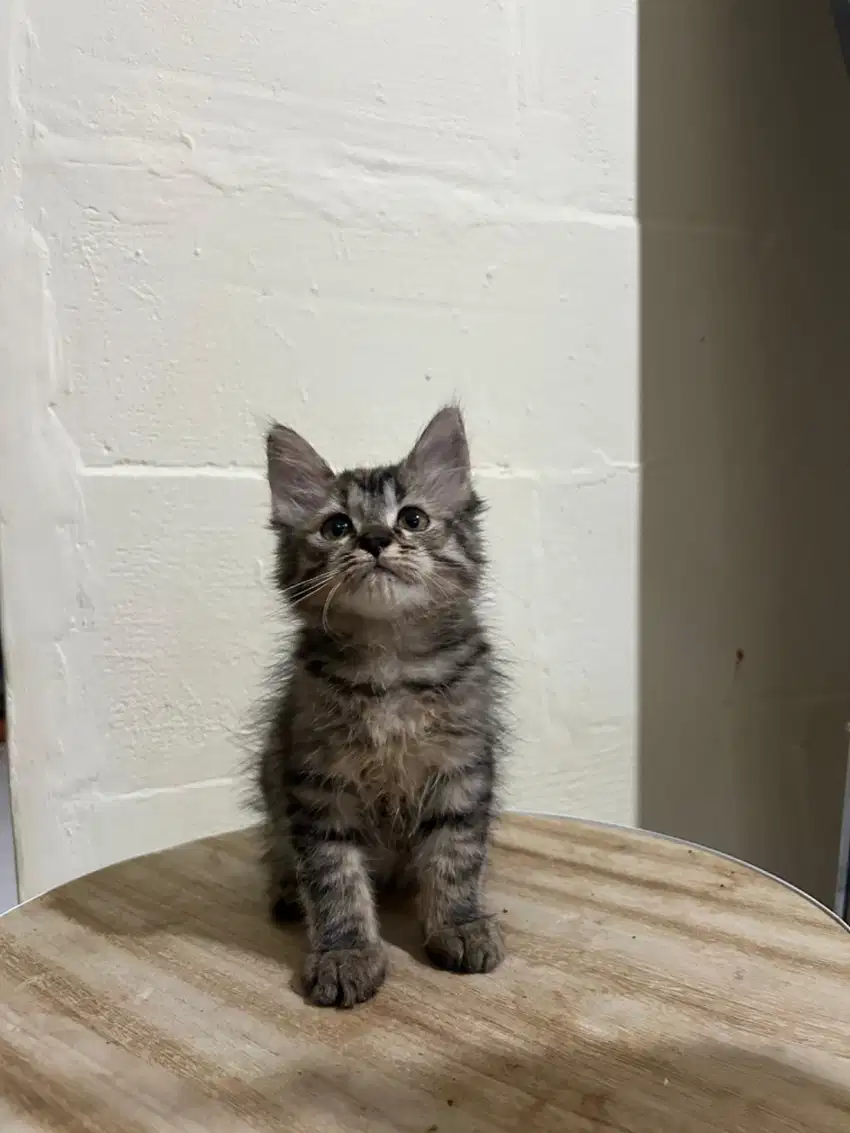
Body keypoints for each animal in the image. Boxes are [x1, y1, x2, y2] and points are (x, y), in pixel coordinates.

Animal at [256, 407, 503, 1010]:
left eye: (412, 518)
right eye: (336, 527)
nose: (374, 538)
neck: (390, 665)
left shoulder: (462, 767)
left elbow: (456, 856)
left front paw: (459, 924)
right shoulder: (316, 784)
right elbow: (334, 878)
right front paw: (345, 953)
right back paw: (286, 891)